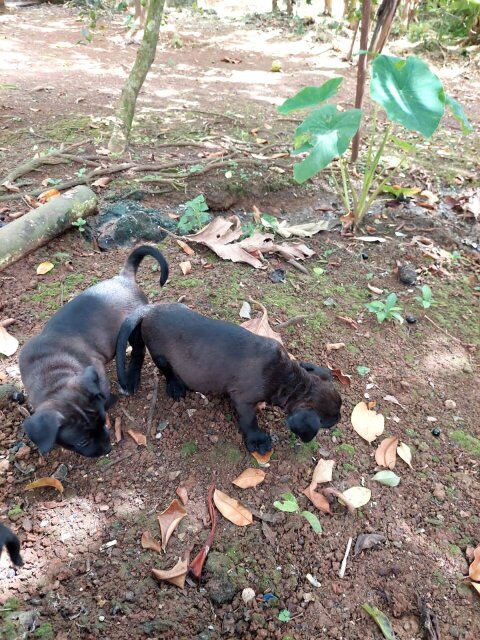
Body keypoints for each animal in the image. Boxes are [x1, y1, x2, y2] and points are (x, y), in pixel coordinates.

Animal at [18, 242, 169, 458]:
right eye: (81, 442)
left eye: (104, 422)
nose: (107, 448)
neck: (51, 374)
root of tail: (123, 278)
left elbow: (104, 395)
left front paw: (109, 399)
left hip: (132, 328)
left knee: (138, 351)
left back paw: (131, 379)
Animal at [116, 304, 342, 456]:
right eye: (328, 422)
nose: (339, 419)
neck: (288, 378)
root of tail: (148, 310)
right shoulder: (244, 401)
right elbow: (250, 422)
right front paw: (257, 440)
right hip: (160, 355)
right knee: (168, 372)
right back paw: (176, 386)